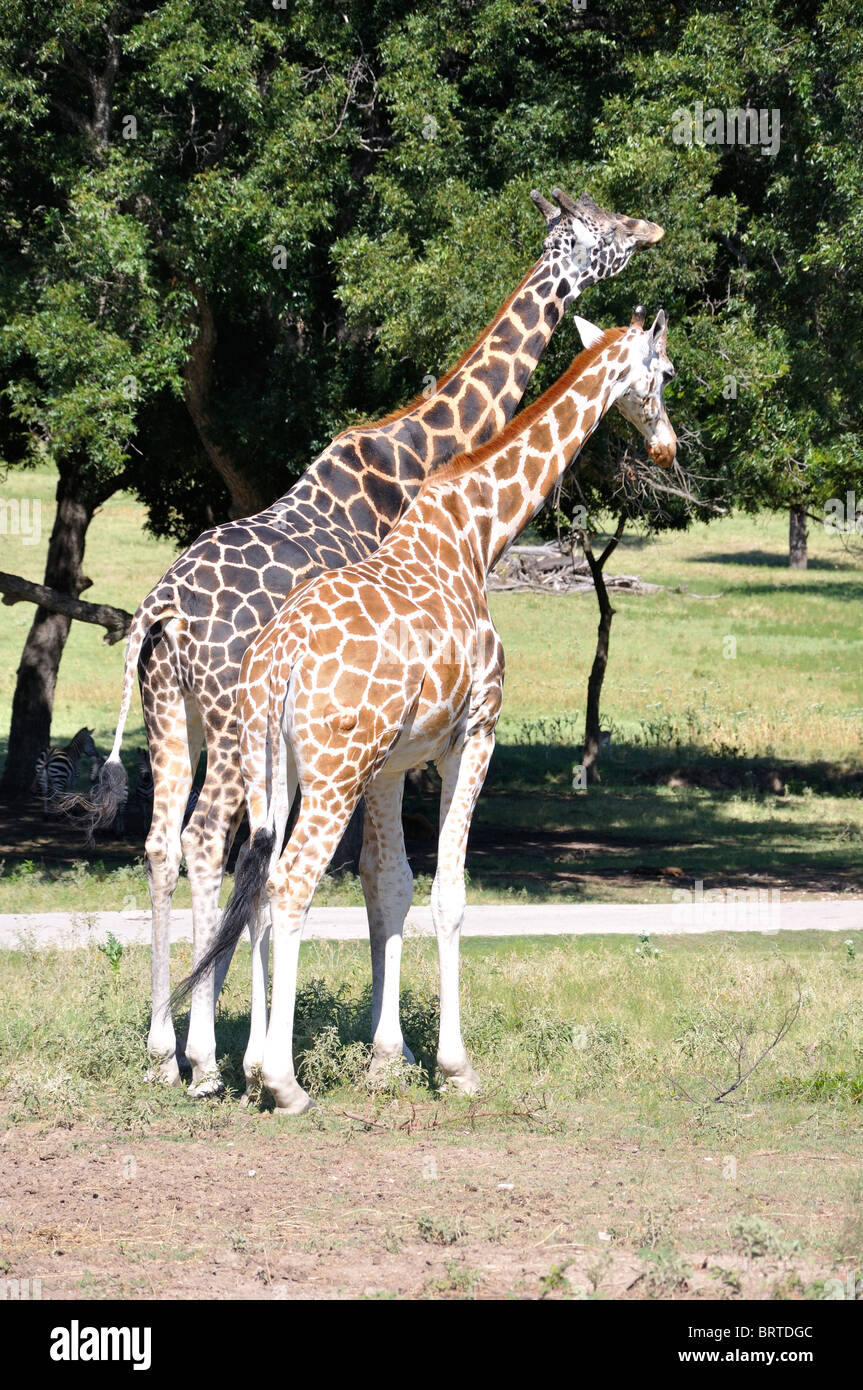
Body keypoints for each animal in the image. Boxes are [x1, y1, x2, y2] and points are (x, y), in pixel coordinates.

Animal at [83, 188, 664, 1097]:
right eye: (603, 227)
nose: (651, 230)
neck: (420, 459)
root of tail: (162, 611)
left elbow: (360, 878)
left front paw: (353, 1049)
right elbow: (377, 879)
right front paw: (384, 1054)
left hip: (171, 715)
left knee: (160, 846)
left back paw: (161, 1050)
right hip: (233, 725)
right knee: (211, 845)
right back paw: (207, 1060)